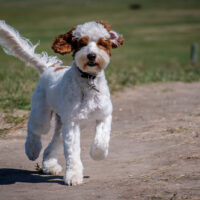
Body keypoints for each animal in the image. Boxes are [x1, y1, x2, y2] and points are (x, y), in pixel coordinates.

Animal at [0, 20, 124, 186]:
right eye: (82, 43)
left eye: (101, 43)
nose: (91, 55)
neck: (88, 82)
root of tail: (49, 68)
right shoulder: (72, 124)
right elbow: (73, 152)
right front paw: (73, 175)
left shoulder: (103, 115)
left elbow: (101, 141)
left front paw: (97, 154)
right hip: (42, 115)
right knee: (34, 129)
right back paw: (32, 150)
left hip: (62, 122)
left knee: (53, 143)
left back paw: (50, 165)